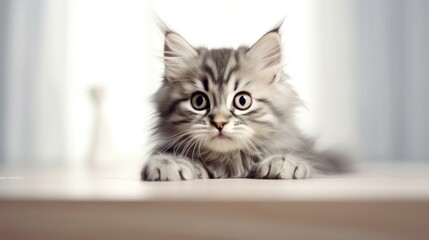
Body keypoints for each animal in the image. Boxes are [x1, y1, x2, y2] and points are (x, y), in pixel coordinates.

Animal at [140, 25, 334, 181]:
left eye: (242, 101)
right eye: (199, 101)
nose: (219, 123)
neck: (228, 164)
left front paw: (284, 161)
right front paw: (168, 163)